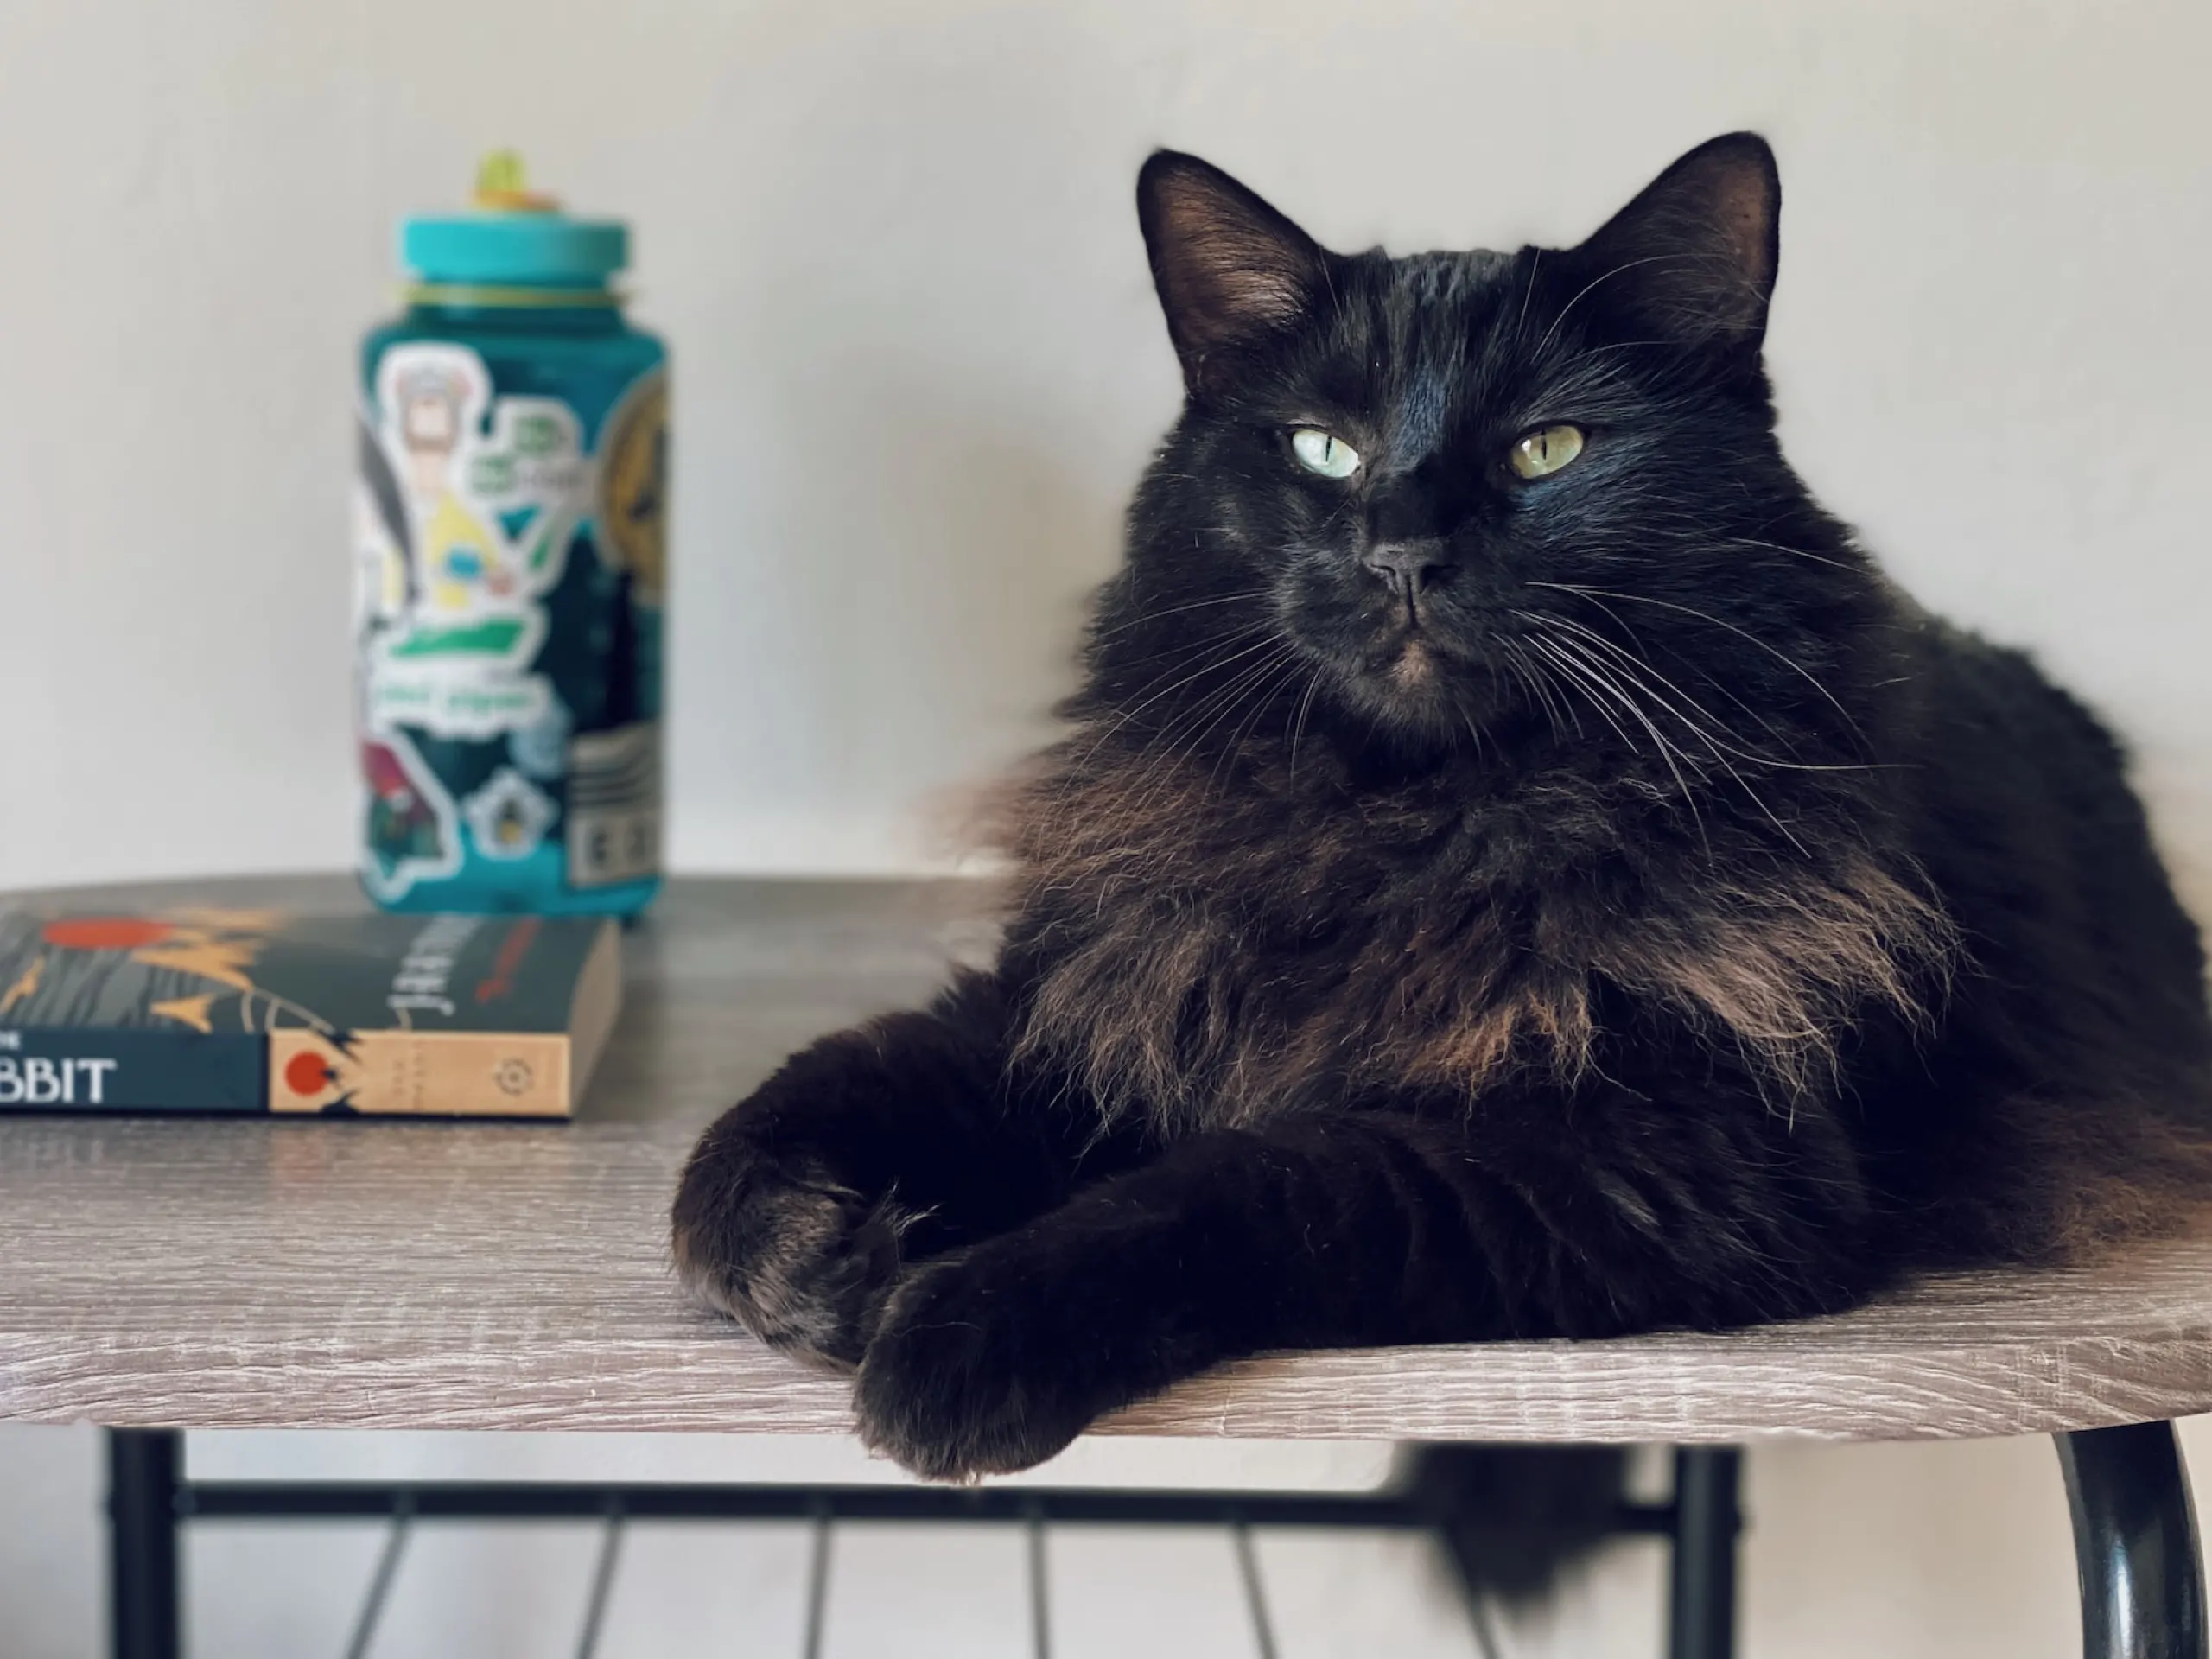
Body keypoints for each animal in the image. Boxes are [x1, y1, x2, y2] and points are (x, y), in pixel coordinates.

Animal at [672, 133, 2212, 1478]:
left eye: (1550, 450)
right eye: (1323, 451)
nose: (1403, 552)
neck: (1403, 830)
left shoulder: (1682, 1149)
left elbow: (1250, 1182)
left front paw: (960, 1327)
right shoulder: (1089, 997)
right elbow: (807, 1101)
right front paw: (808, 1249)